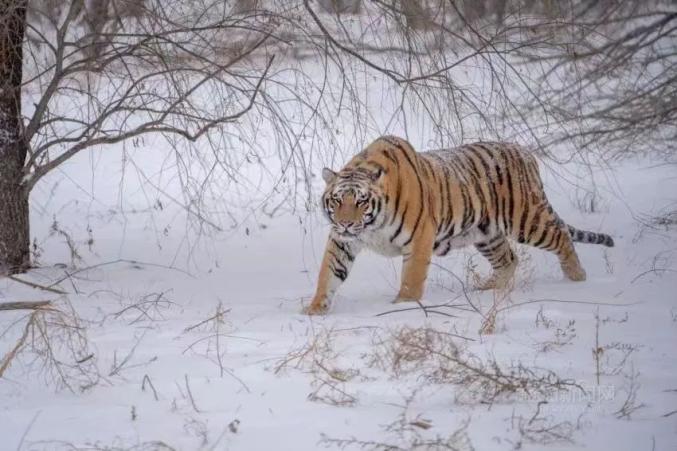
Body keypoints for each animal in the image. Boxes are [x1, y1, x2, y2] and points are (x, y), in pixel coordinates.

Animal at [304, 136, 616, 316]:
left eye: (361, 201)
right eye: (337, 200)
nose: (345, 223)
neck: (371, 227)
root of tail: (525, 153)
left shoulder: (419, 238)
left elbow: (411, 279)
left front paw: (403, 308)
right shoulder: (342, 242)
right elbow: (328, 274)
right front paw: (315, 309)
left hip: (526, 220)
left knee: (561, 235)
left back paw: (576, 276)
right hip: (486, 233)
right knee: (508, 259)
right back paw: (489, 289)